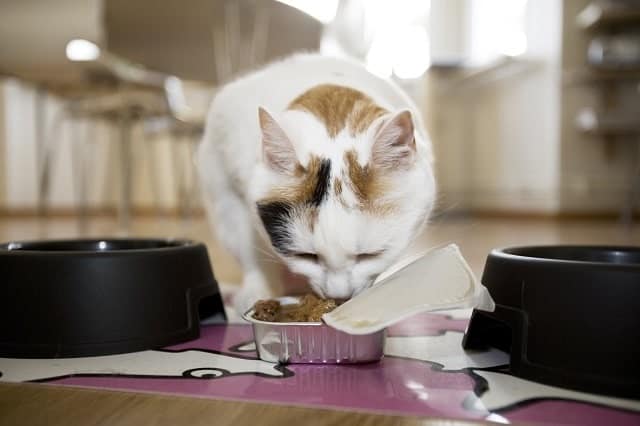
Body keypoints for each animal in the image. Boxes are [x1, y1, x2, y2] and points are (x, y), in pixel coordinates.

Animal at [196, 53, 436, 312]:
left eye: (369, 255)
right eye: (306, 256)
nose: (340, 296)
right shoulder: (232, 190)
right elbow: (252, 255)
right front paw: (256, 293)